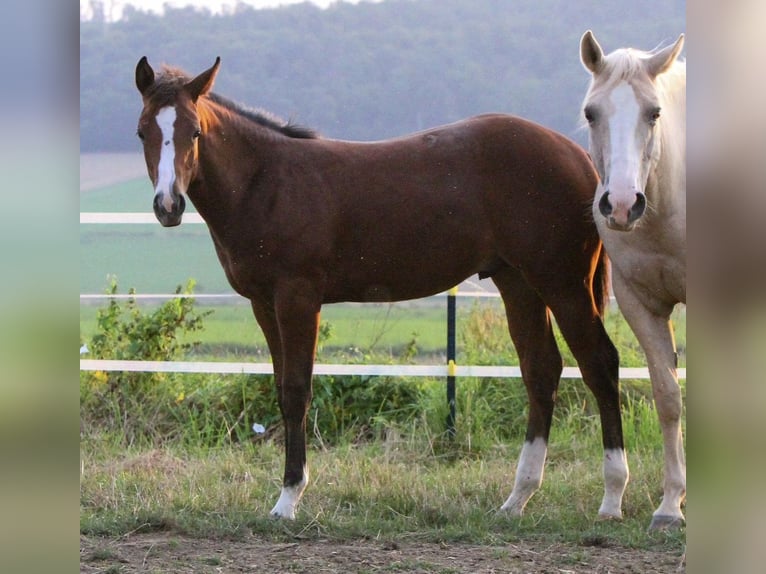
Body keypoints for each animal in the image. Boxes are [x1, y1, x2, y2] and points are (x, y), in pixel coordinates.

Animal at [136, 57, 632, 520]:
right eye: (142, 132)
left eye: (195, 132)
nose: (168, 206)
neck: (266, 183)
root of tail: (578, 156)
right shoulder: (263, 304)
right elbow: (280, 389)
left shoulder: (298, 298)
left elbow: (297, 391)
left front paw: (289, 498)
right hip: (519, 283)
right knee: (541, 371)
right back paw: (517, 499)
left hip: (563, 284)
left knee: (599, 364)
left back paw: (611, 498)